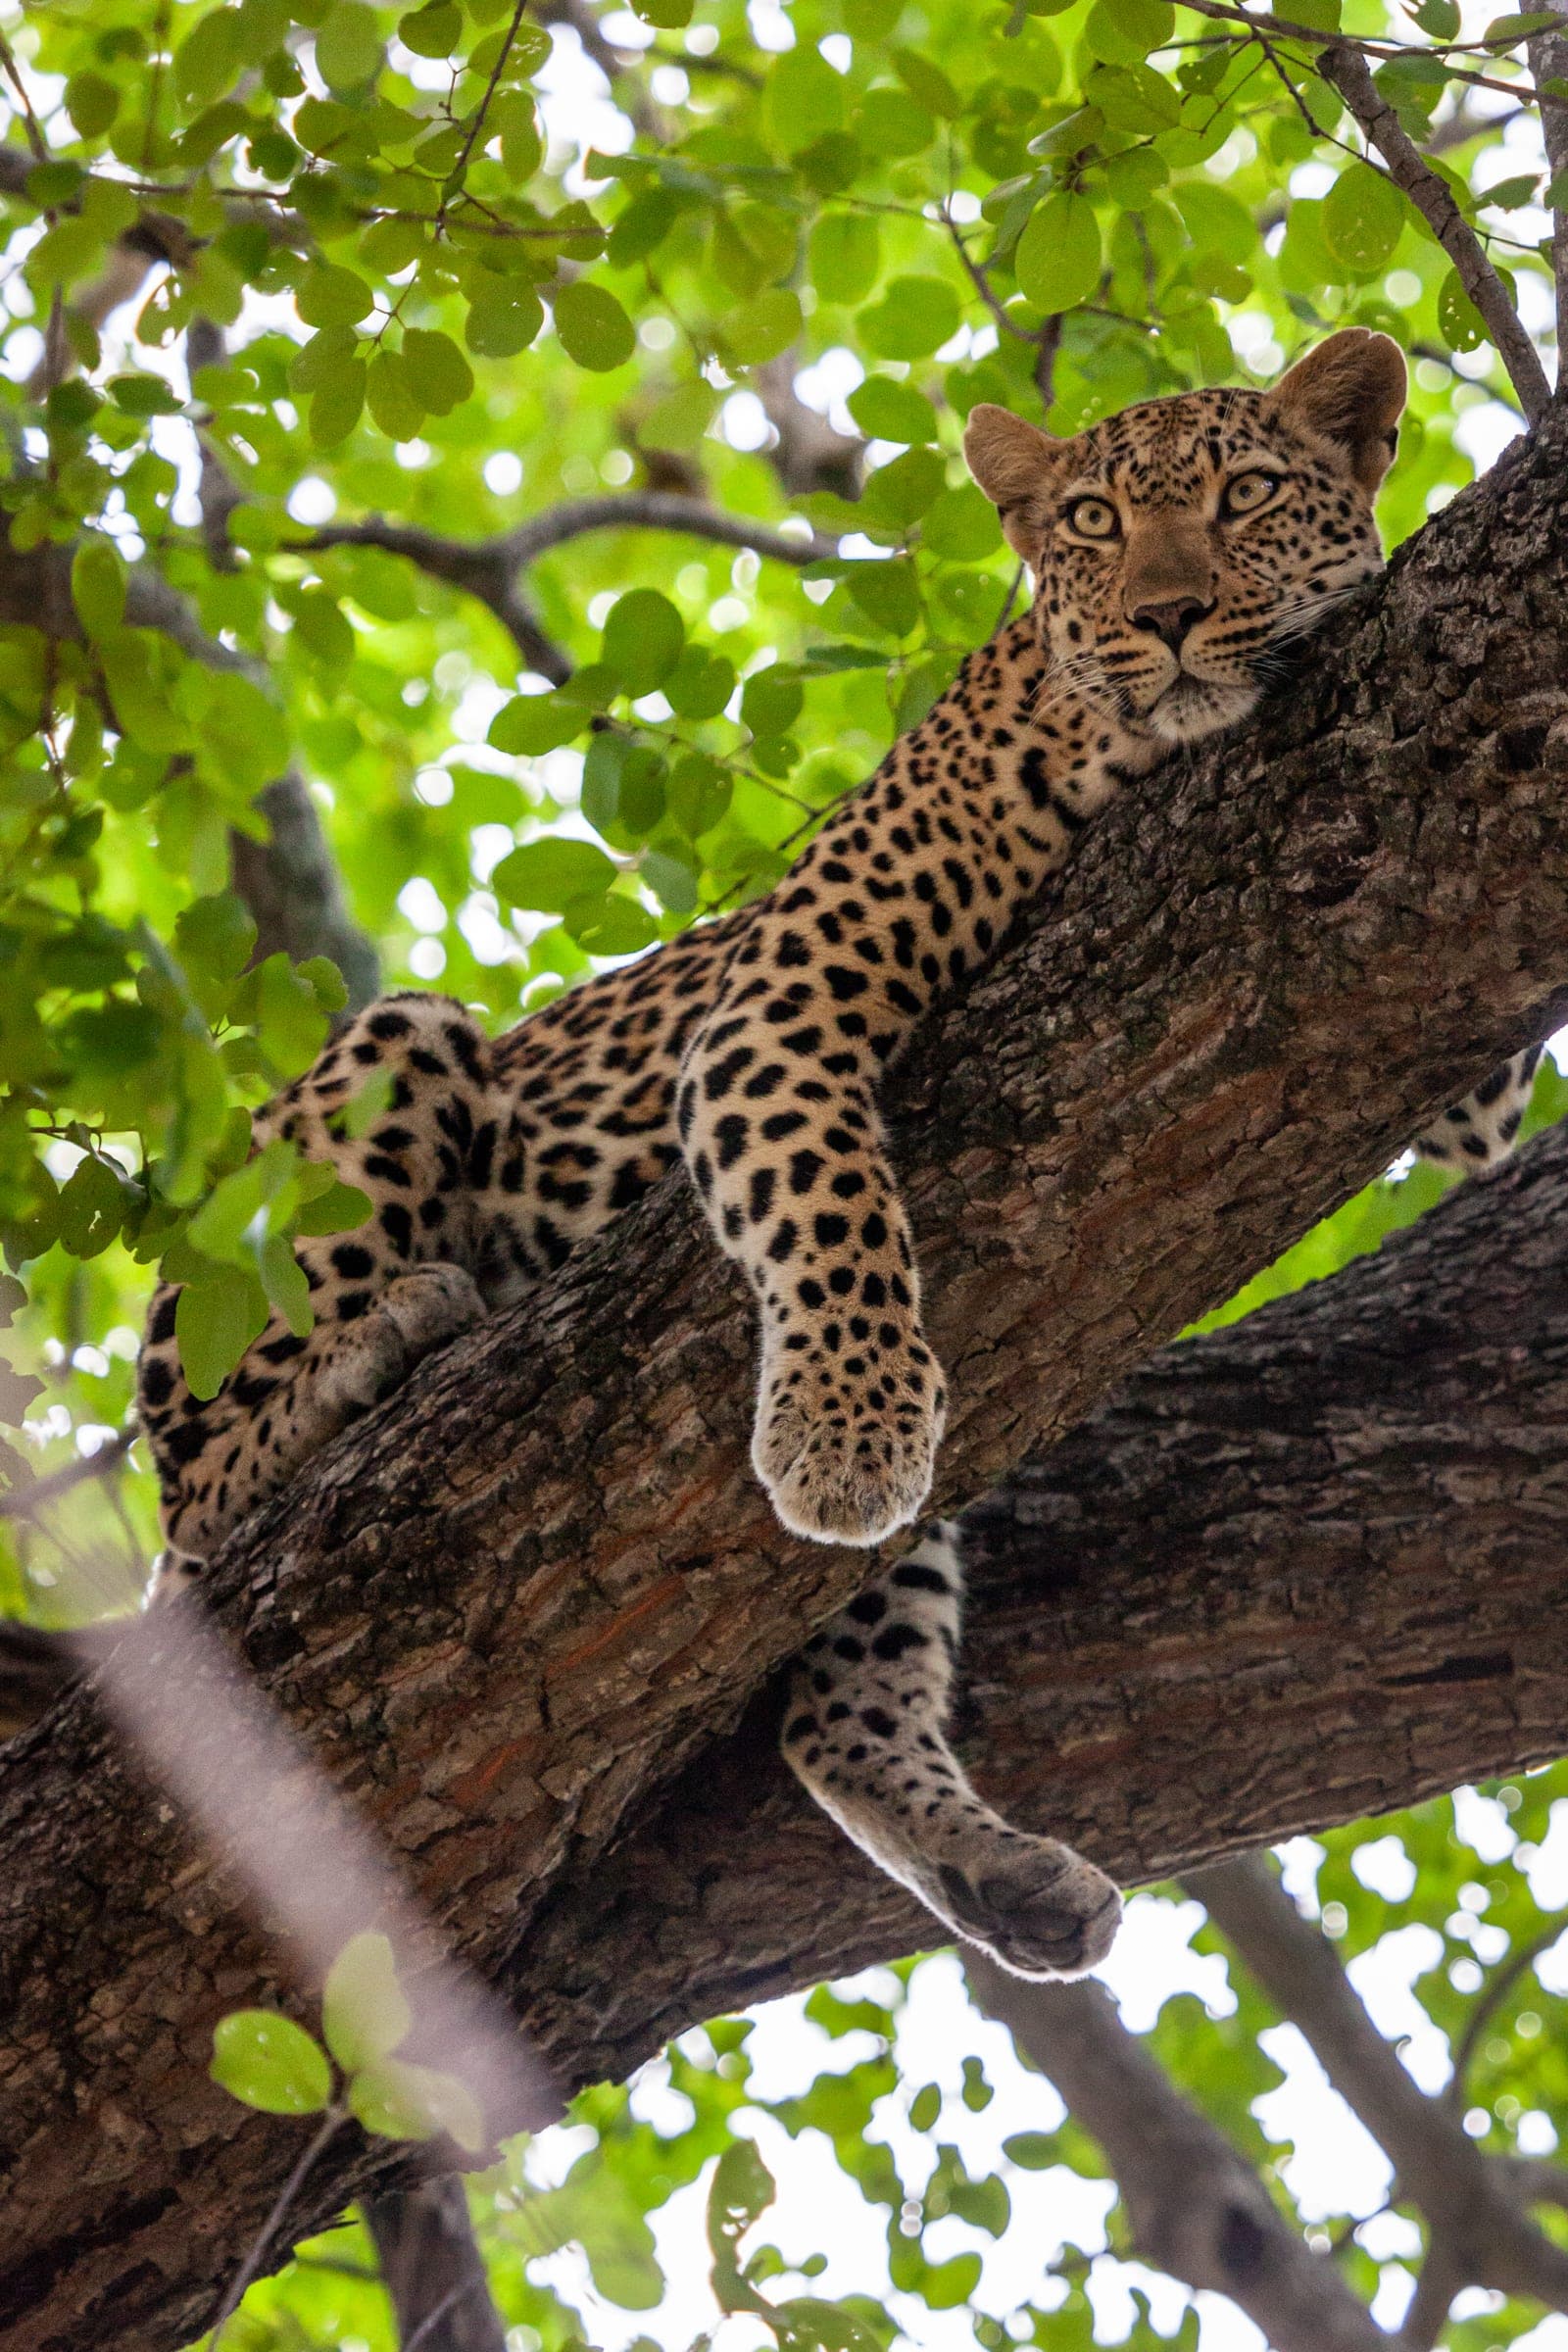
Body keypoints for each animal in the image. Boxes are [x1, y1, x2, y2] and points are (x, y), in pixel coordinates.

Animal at [137, 328, 1540, 1982]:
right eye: (1093, 526)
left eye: (1244, 495)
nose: (1169, 615)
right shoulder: (782, 1001)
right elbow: (829, 1202)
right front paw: (845, 1427)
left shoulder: (1450, 1032)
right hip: (380, 1072)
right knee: (198, 1499)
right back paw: (383, 1345)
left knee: (838, 1706)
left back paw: (1000, 1874)